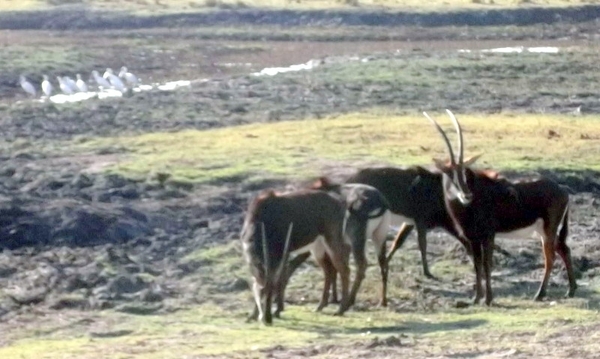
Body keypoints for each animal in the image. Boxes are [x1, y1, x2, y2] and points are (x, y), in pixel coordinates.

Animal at [240, 190, 352, 324]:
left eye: (271, 292)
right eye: (262, 293)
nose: (267, 320)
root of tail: (340, 202)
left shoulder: (282, 254)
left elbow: (281, 279)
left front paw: (276, 311)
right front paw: (253, 315)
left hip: (332, 242)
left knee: (344, 270)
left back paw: (341, 309)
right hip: (317, 248)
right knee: (329, 271)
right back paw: (320, 306)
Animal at [424, 109, 580, 304]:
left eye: (465, 173)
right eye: (449, 174)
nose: (466, 196)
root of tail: (563, 190)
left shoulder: (488, 236)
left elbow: (487, 264)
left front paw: (488, 299)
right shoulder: (473, 239)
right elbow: (477, 266)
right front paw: (476, 298)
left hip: (548, 230)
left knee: (550, 257)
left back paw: (540, 294)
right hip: (543, 231)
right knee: (564, 249)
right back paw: (570, 290)